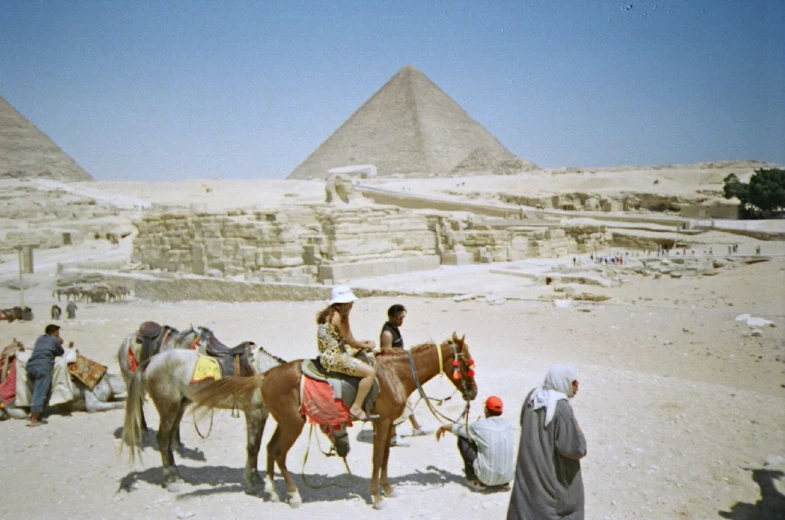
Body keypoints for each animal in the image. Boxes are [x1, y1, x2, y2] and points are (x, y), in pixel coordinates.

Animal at [196, 334, 478, 508]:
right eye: (466, 362)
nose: (474, 392)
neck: (394, 374)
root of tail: (266, 375)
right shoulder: (381, 422)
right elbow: (377, 457)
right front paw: (376, 496)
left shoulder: (388, 423)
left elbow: (385, 457)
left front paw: (387, 489)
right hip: (293, 425)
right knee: (277, 452)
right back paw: (293, 494)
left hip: (286, 423)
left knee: (269, 449)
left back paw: (275, 492)